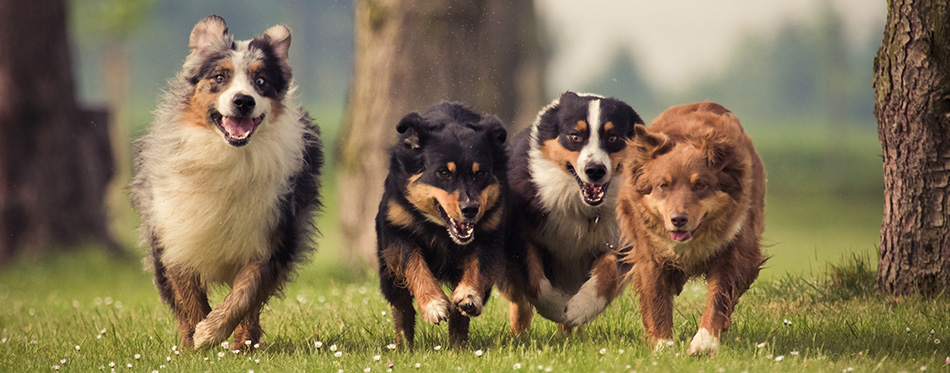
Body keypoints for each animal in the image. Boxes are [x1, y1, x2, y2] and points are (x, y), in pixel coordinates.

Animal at [376, 101, 510, 346]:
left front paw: (468, 295)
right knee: (402, 307)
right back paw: (404, 345)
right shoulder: (398, 231)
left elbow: (477, 265)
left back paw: (458, 344)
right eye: (444, 173)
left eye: (480, 174)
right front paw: (434, 305)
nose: (470, 209)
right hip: (388, 272)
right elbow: (415, 265)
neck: (440, 229)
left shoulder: (490, 234)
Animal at [502, 91, 644, 334]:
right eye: (575, 136)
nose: (595, 170)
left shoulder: (621, 240)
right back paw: (519, 334)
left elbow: (608, 273)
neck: (581, 206)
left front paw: (579, 309)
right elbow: (533, 279)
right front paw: (556, 307)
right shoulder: (519, 235)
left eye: (613, 138)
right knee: (518, 300)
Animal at [616, 101, 768, 354]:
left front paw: (704, 343)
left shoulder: (735, 250)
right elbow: (656, 299)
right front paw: (663, 346)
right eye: (663, 186)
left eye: (700, 185)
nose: (678, 219)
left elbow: (719, 298)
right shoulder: (649, 254)